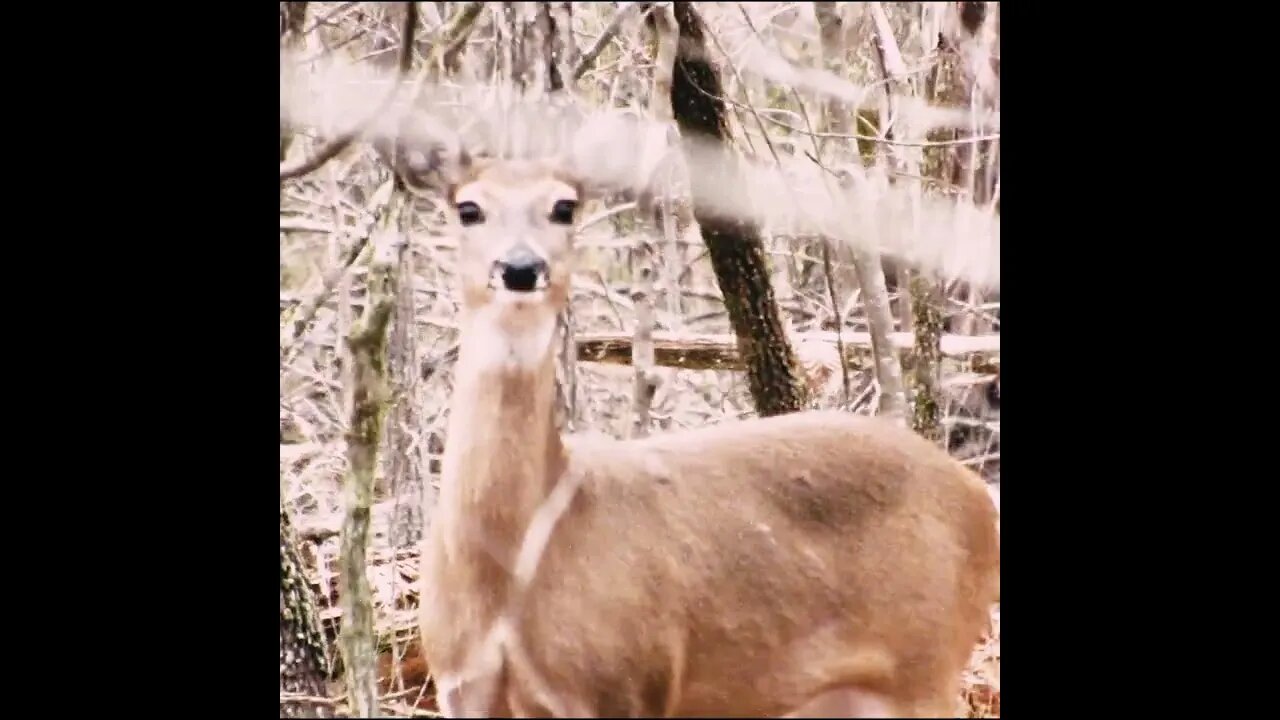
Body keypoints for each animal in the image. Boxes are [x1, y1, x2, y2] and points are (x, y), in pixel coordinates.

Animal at [386, 111, 1001, 718]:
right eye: (469, 207)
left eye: (564, 206)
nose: (520, 267)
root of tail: (979, 499)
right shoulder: (459, 685)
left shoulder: (631, 681)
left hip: (927, 663)